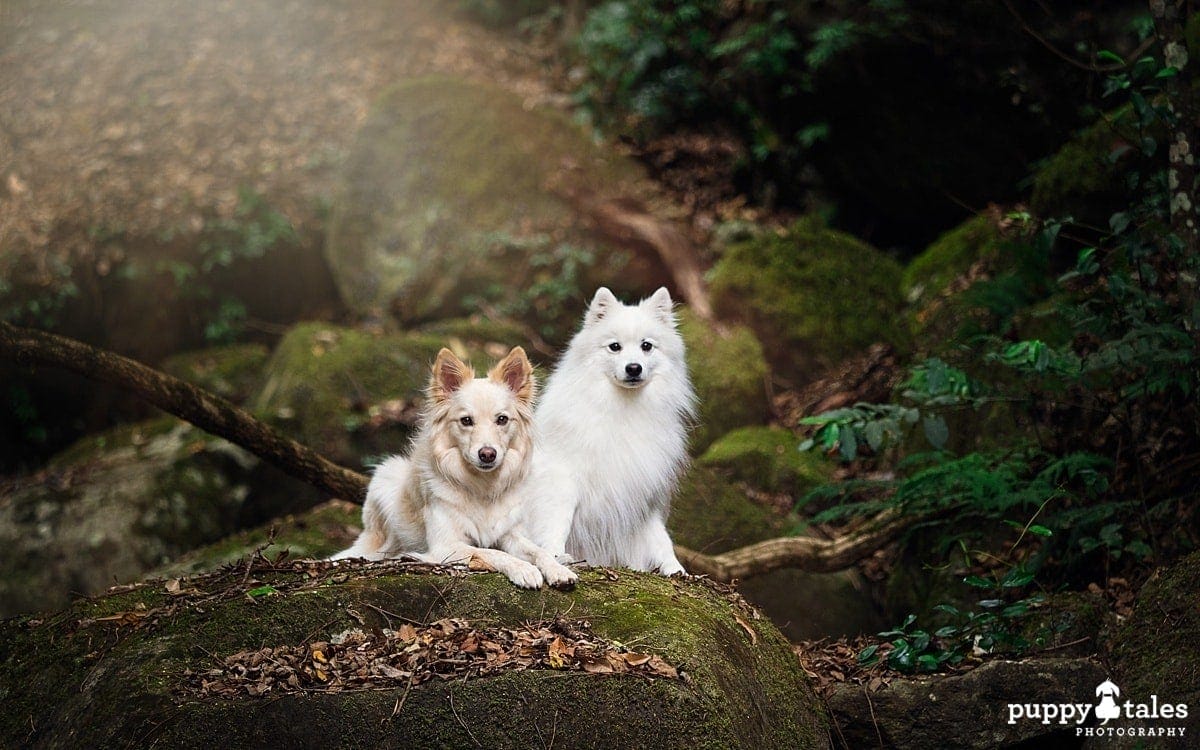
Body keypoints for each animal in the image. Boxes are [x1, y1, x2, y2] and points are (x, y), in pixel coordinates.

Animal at [333, 345, 576, 590]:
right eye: (466, 420)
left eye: (502, 419)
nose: (487, 454)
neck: (482, 486)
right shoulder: (447, 545)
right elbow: (492, 553)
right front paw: (523, 569)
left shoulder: (510, 535)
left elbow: (538, 551)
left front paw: (557, 569)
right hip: (387, 474)